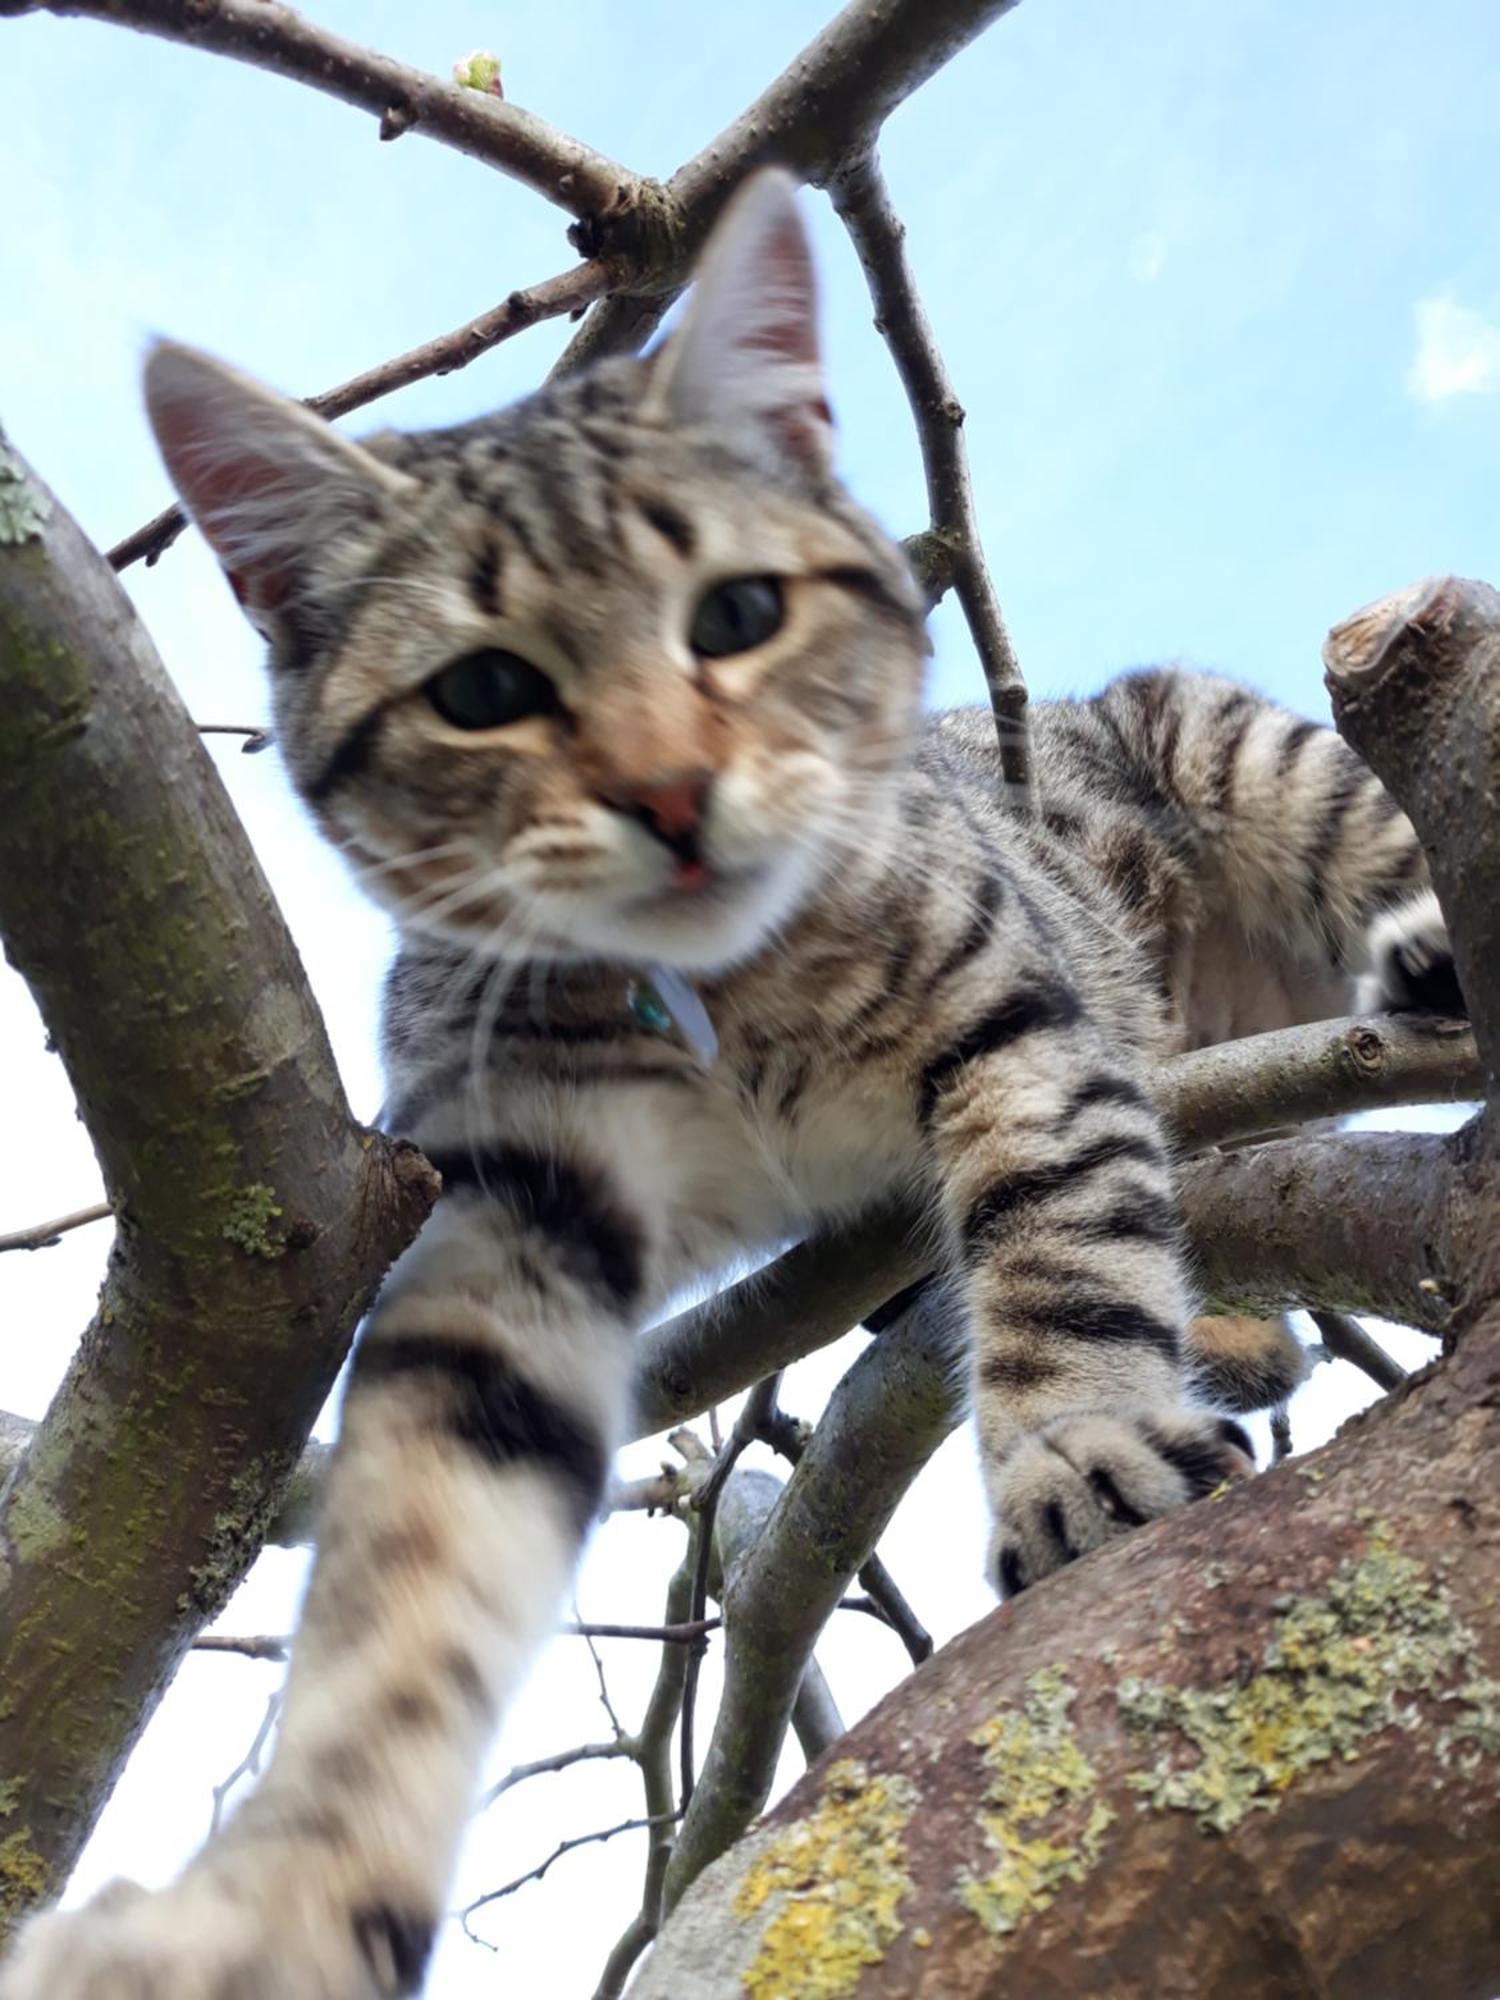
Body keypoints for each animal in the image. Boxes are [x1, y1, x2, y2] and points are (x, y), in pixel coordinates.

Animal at [0, 172, 1456, 2000]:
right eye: (485, 689)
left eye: (741, 615)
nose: (672, 792)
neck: (733, 1006)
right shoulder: (517, 1212)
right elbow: (414, 1553)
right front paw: (279, 1899)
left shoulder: (1019, 1011)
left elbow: (1063, 1236)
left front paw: (1081, 1452)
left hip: (1246, 750)